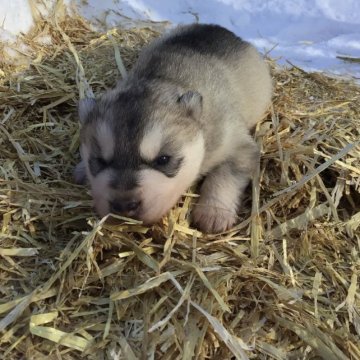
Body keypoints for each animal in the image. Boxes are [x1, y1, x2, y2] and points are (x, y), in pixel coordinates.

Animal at [76, 25, 272, 233]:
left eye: (163, 160)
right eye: (99, 161)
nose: (123, 205)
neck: (163, 79)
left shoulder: (238, 144)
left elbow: (224, 175)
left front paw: (214, 212)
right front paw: (81, 169)